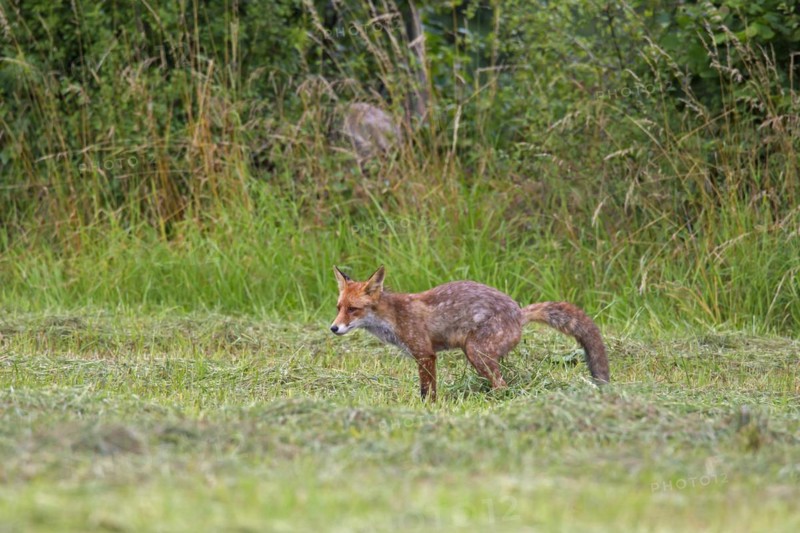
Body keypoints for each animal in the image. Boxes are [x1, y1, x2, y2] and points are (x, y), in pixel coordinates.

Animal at [330, 266, 609, 401]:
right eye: (339, 307)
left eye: (353, 309)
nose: (333, 328)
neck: (394, 317)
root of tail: (519, 312)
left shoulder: (425, 354)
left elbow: (427, 391)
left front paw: (428, 409)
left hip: (476, 353)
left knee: (502, 386)